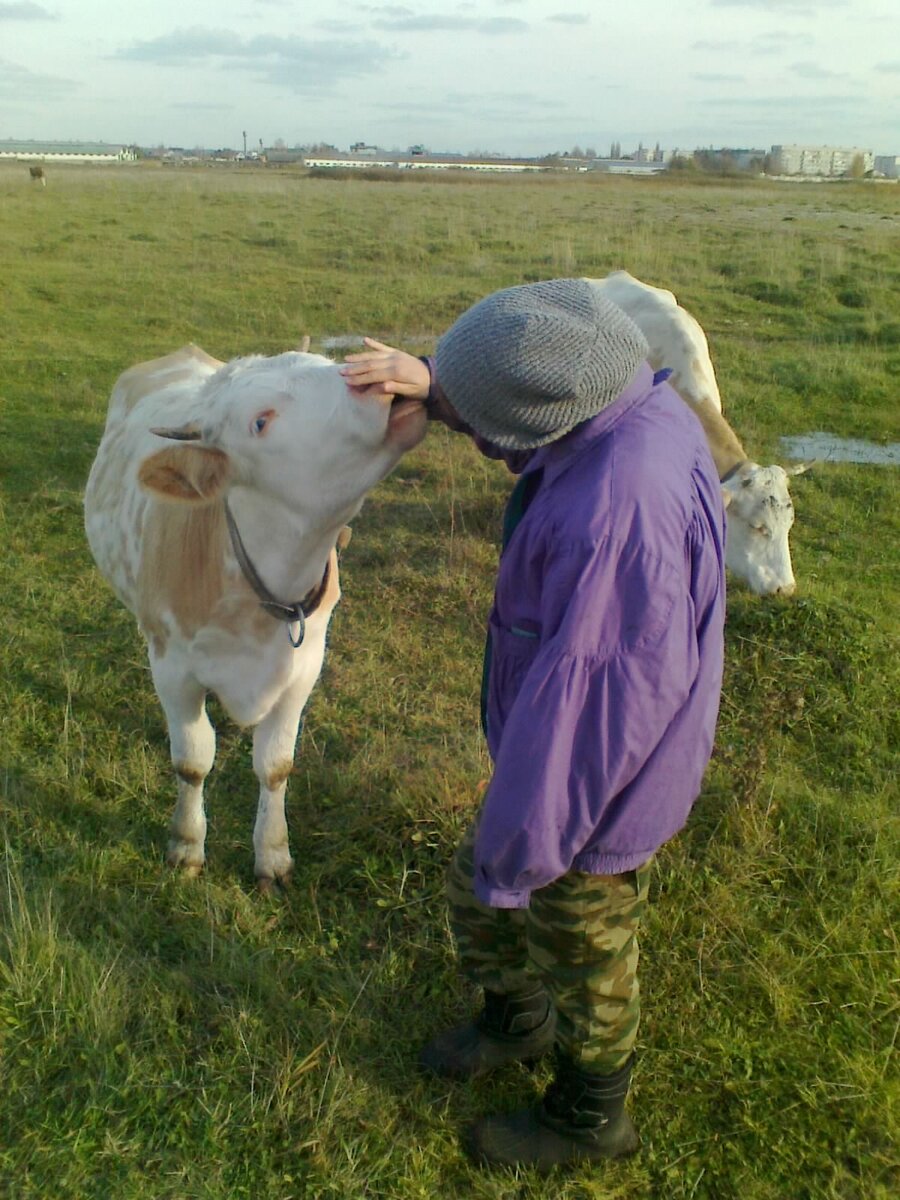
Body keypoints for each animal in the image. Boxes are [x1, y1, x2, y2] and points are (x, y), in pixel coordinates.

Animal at [84, 343, 429, 888]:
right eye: (261, 422)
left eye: (326, 365)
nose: (377, 381)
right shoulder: (173, 669)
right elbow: (192, 760)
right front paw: (186, 846)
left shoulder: (305, 667)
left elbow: (275, 765)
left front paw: (273, 855)